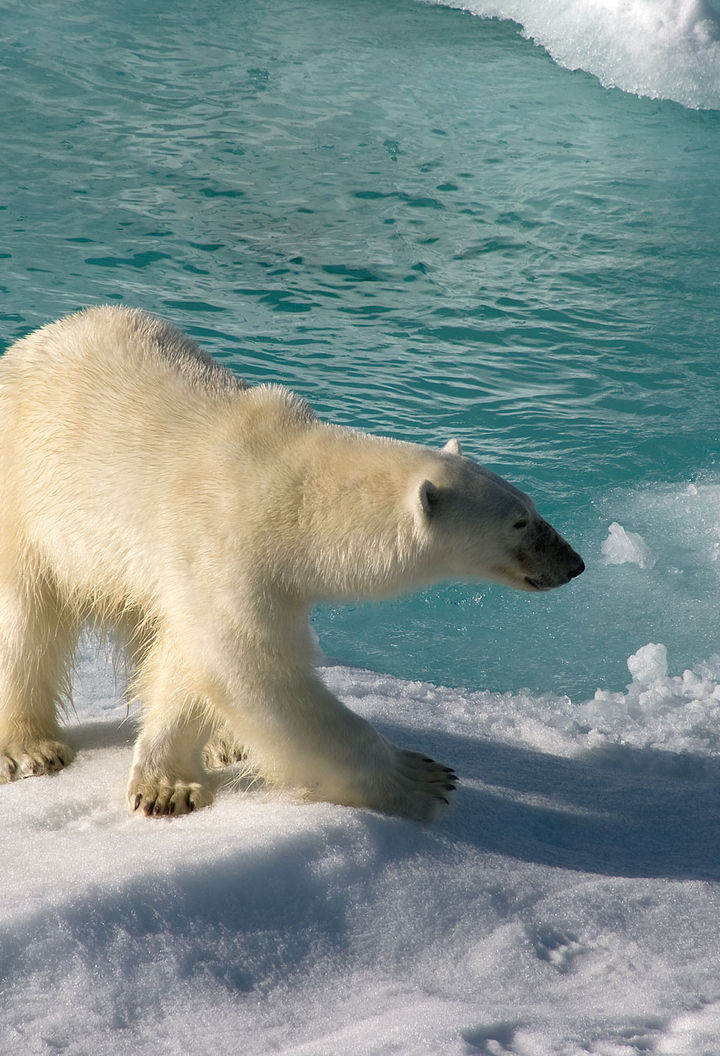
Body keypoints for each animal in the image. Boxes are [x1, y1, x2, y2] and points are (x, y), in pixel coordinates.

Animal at [0, 308, 582, 819]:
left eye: (532, 507)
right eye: (519, 523)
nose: (573, 563)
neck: (284, 485)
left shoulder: (218, 569)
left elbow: (192, 660)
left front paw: (171, 781)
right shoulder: (223, 542)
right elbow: (254, 669)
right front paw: (423, 779)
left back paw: (226, 743)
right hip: (25, 499)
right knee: (23, 621)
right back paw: (29, 748)